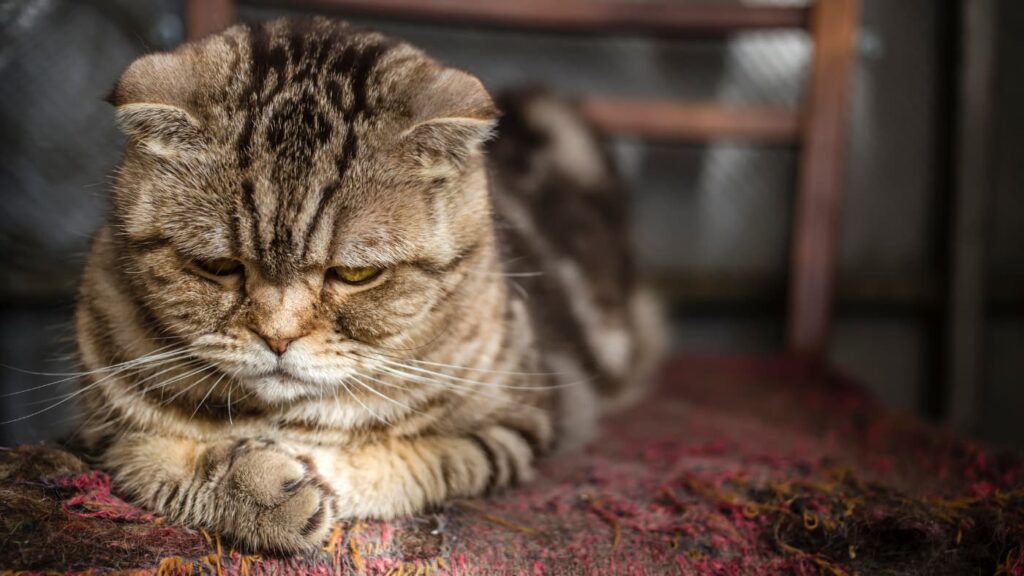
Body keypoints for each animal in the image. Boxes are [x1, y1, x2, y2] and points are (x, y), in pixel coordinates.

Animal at [72, 15, 663, 549]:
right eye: (218, 267)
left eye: (356, 273)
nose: (277, 338)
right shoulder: (104, 433)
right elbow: (157, 458)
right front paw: (260, 486)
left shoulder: (521, 423)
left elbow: (411, 459)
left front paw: (306, 471)